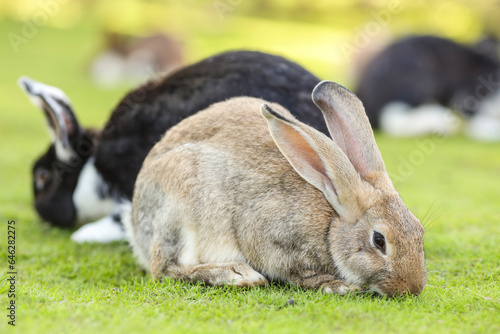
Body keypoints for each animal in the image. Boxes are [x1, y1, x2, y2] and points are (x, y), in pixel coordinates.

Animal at [125, 81, 426, 298]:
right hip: (180, 205)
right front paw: (336, 285)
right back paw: (235, 274)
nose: (411, 288)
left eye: (420, 230)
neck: (331, 225)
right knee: (165, 268)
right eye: (379, 241)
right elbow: (295, 273)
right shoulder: (266, 235)